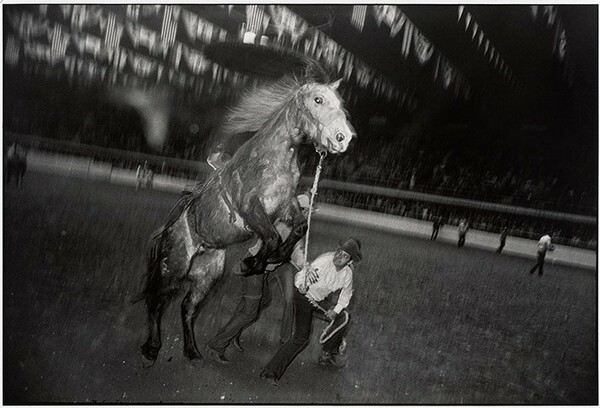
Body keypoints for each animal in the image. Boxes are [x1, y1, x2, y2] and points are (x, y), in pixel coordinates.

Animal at [139, 75, 356, 362]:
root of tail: (168, 230)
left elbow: (299, 227)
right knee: (157, 302)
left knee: (187, 308)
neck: (272, 159)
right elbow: (272, 236)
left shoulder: (285, 204)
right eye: (317, 99)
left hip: (208, 275)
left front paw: (273, 258)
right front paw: (251, 263)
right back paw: (151, 349)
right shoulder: (250, 206)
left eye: (340, 102)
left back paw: (192, 350)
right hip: (174, 268)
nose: (343, 138)